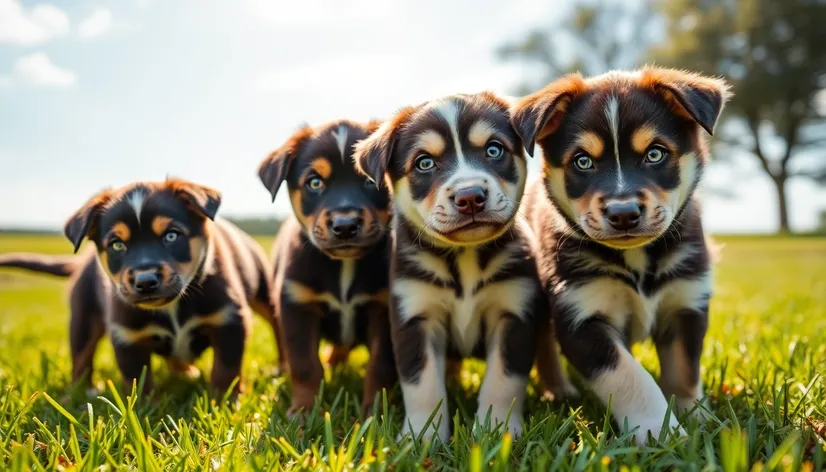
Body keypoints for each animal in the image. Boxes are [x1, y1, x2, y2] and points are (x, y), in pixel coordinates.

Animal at [0, 179, 284, 396]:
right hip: (82, 316)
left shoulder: (229, 321)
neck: (172, 306)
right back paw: (82, 393)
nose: (145, 280)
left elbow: (226, 370)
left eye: (171, 235)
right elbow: (138, 381)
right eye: (117, 244)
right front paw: (148, 412)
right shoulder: (128, 336)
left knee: (277, 328)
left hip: (265, 293)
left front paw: (224, 403)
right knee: (81, 355)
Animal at [260, 119, 398, 416]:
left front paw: (374, 413)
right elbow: (305, 366)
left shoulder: (382, 308)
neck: (344, 266)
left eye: (370, 181)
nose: (345, 225)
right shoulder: (297, 305)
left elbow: (379, 366)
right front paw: (302, 412)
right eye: (314, 182)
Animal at [352, 93, 572, 442]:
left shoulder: (514, 310)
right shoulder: (415, 314)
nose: (470, 197)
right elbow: (422, 385)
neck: (465, 257)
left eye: (494, 150)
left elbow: (504, 380)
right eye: (424, 162)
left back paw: (559, 389)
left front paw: (496, 429)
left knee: (547, 347)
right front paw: (421, 436)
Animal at [512, 68, 732, 444]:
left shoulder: (686, 304)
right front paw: (659, 431)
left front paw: (696, 417)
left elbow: (684, 371)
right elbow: (630, 377)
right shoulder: (581, 316)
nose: (624, 213)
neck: (637, 259)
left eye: (655, 154)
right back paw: (559, 391)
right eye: (582, 161)